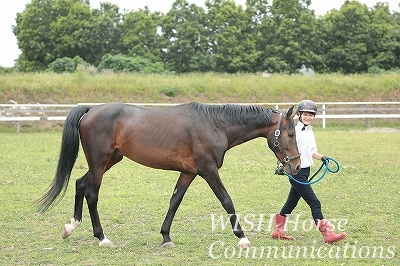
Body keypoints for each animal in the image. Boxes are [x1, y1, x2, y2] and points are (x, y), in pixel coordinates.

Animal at [37, 102, 300, 247]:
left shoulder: (188, 173)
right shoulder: (208, 170)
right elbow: (226, 200)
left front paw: (165, 237)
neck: (214, 124)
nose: (296, 166)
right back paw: (102, 238)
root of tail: (91, 109)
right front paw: (243, 238)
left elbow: (175, 201)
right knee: (91, 194)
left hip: (108, 161)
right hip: (100, 162)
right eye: (290, 134)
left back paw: (71, 226)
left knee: (80, 184)